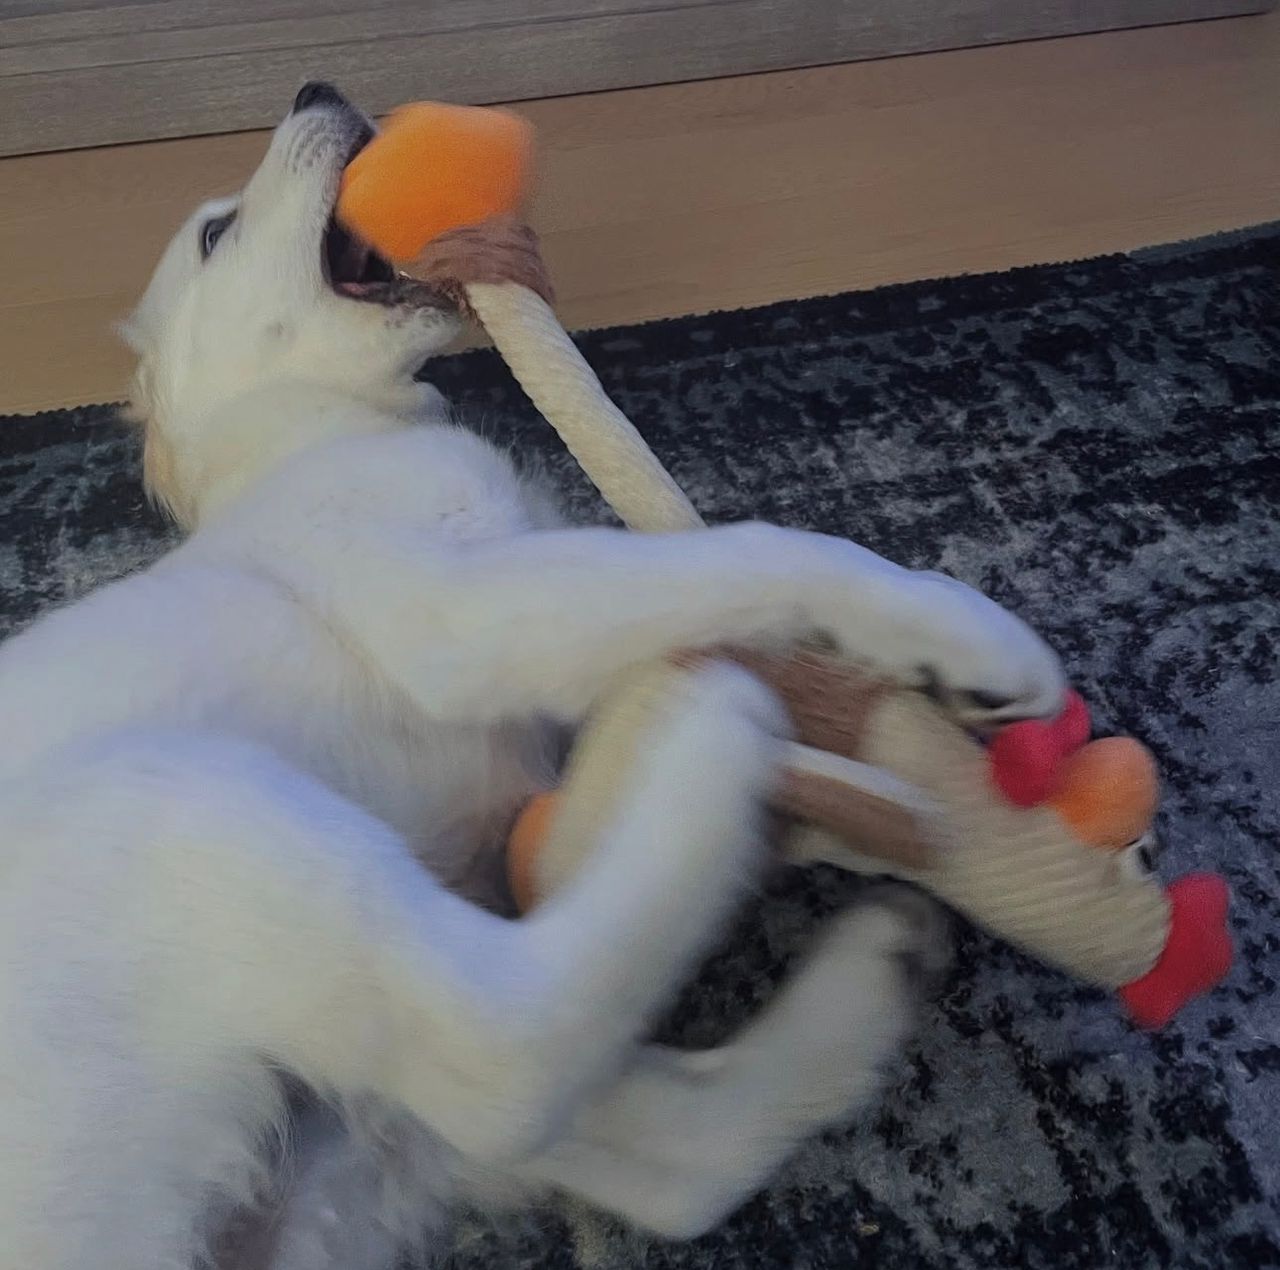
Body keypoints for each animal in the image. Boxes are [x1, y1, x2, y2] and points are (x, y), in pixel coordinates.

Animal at [0, 83, 1065, 1269]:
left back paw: (878, 950)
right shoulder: (456, 613)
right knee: (504, 1048)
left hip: (325, 1152)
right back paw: (719, 736)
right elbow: (746, 555)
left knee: (657, 1150)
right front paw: (960, 635)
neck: (299, 430)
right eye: (216, 233)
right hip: (161, 813)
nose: (317, 90)